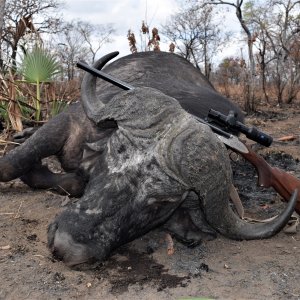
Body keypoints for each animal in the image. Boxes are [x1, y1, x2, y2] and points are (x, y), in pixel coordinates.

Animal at [0, 52, 296, 268]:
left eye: (160, 203)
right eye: (113, 154)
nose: (66, 245)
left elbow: (66, 181)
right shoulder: (64, 123)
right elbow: (10, 165)